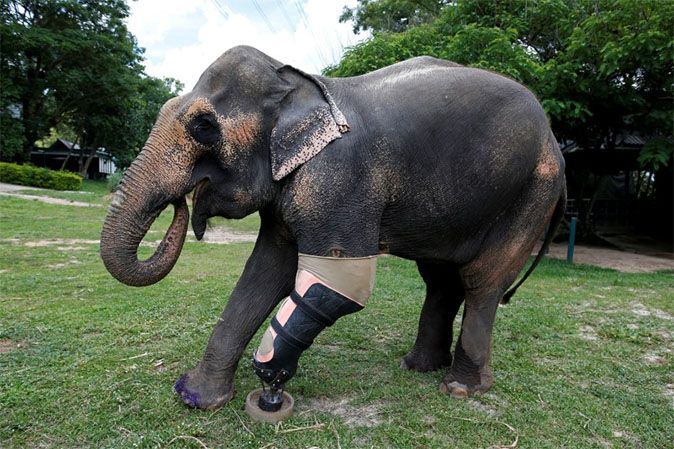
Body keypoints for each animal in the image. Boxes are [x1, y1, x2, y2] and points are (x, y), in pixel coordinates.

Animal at [100, 45, 566, 410]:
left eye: (203, 127)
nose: (182, 202)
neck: (297, 81)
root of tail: (555, 143)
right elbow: (264, 273)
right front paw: (196, 398)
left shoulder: (340, 178)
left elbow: (342, 283)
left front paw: (270, 373)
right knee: (440, 278)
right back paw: (417, 366)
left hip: (532, 192)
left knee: (480, 278)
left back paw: (460, 388)